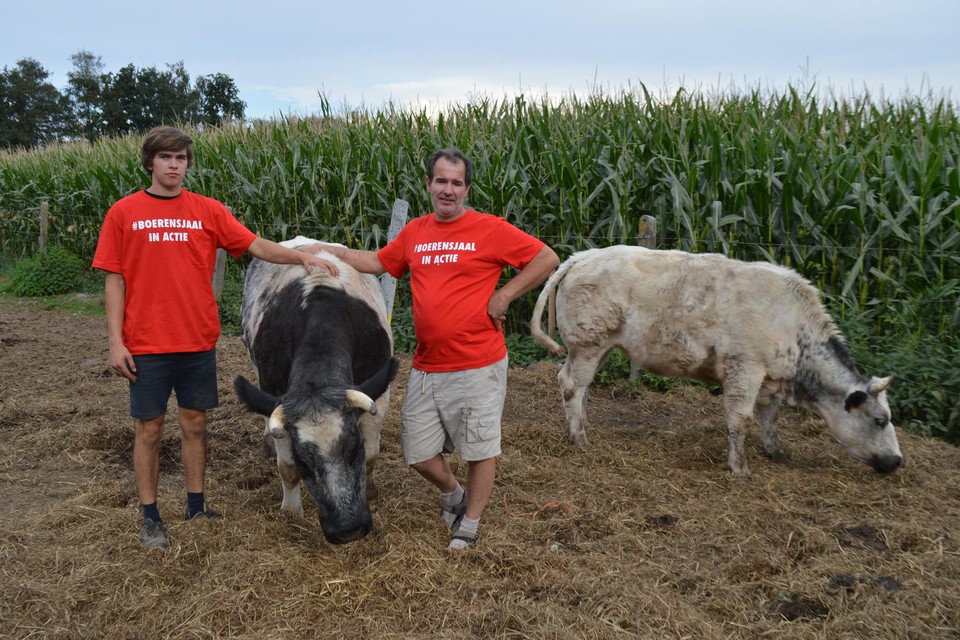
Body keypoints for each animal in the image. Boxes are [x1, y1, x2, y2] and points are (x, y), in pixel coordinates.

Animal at [233, 238, 398, 544]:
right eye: (304, 463)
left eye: (353, 449)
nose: (348, 530)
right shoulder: (274, 393)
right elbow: (286, 467)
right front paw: (290, 512)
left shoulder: (379, 397)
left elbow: (372, 455)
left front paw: (371, 493)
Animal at [528, 245, 904, 476]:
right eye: (880, 420)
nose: (897, 461)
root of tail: (586, 255)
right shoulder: (744, 370)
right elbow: (740, 420)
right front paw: (739, 467)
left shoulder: (769, 379)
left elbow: (769, 417)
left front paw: (777, 451)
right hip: (588, 344)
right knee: (571, 385)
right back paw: (579, 438)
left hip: (599, 347)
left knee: (581, 387)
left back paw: (582, 425)